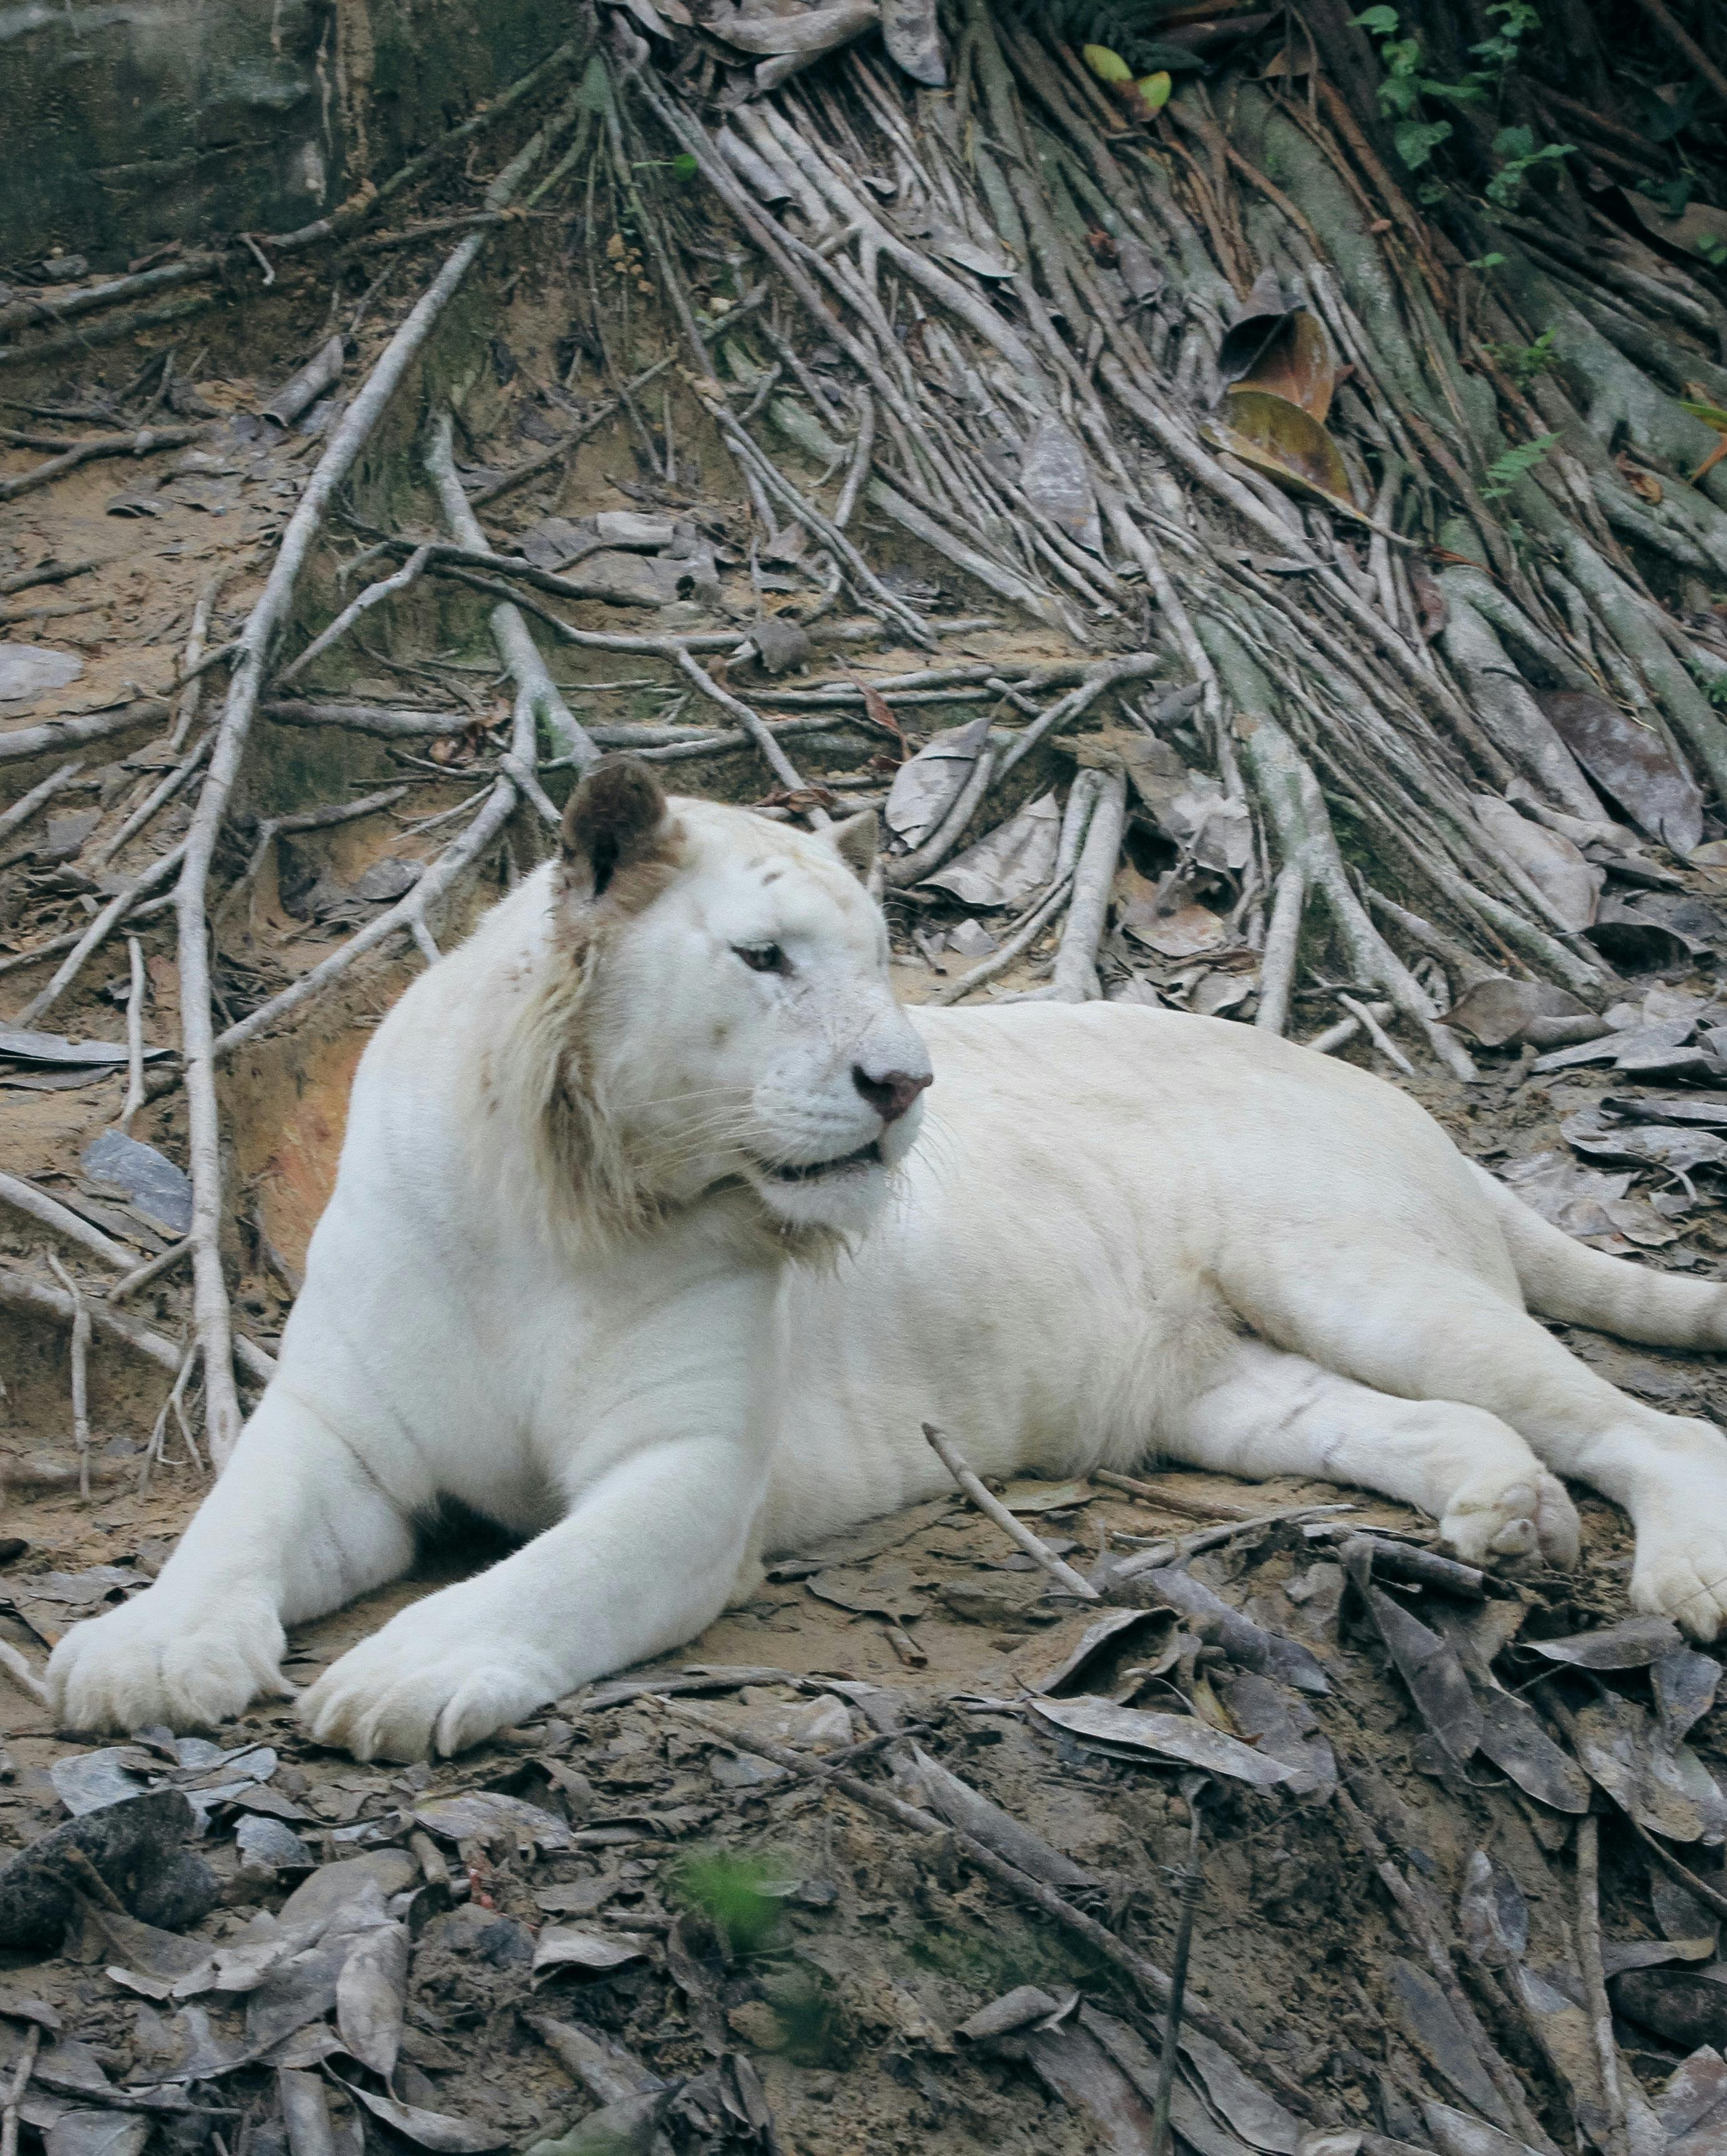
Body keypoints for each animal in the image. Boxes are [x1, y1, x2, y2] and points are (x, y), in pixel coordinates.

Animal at [47, 759, 1727, 1759]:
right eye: (766, 960)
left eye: (880, 959)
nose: (905, 1082)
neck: (561, 1198)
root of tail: (1399, 1099)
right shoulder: (344, 1428)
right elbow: (233, 1522)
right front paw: (137, 1657)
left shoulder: (688, 1476)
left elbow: (552, 1573)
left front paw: (396, 1679)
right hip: (1225, 1390)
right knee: (1427, 1422)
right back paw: (1503, 1515)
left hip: (1351, 1269)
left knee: (1640, 1424)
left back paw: (1677, 1566)